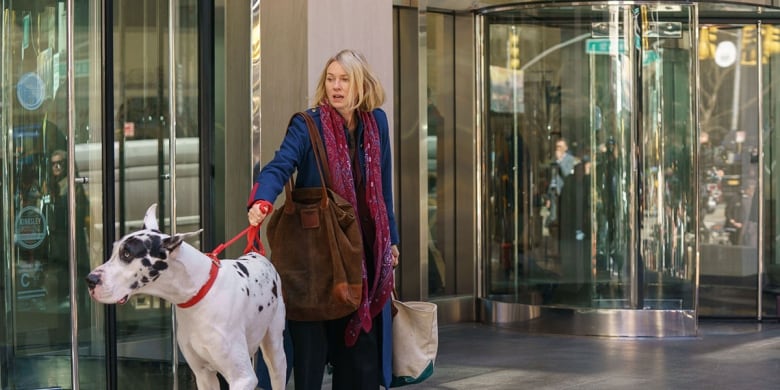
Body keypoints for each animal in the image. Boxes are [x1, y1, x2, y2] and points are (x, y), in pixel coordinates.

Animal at [86, 204, 286, 390]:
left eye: (127, 254)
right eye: (114, 251)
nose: (90, 280)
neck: (198, 294)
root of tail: (256, 254)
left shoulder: (242, 379)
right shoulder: (203, 376)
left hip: (275, 354)